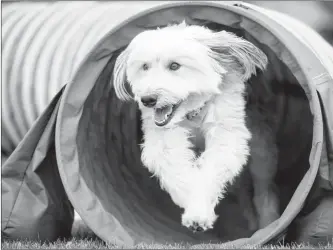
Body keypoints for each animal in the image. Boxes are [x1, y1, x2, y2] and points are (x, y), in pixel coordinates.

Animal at [113, 21, 278, 232]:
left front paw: (199, 214)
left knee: (264, 191)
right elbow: (176, 170)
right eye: (145, 66)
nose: (148, 99)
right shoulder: (163, 140)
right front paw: (194, 211)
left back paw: (269, 223)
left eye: (175, 65)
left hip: (262, 153)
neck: (192, 113)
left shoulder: (226, 133)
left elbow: (213, 168)